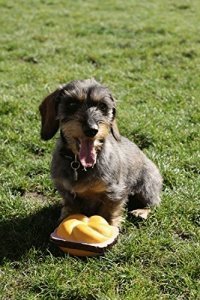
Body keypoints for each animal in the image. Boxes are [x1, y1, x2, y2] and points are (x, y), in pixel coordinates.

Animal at [39, 78, 162, 226]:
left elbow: (109, 211)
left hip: (147, 185)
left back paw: (141, 211)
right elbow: (71, 205)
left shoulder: (114, 191)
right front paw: (66, 216)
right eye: (72, 104)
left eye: (103, 106)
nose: (91, 130)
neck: (79, 165)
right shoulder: (65, 189)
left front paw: (109, 225)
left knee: (153, 203)